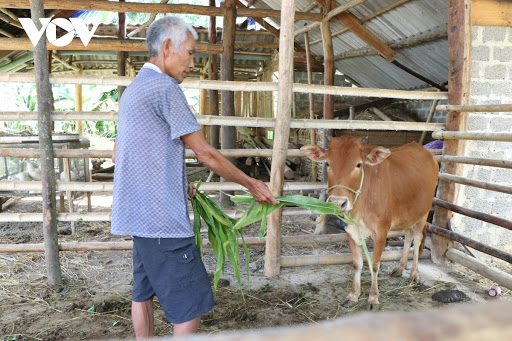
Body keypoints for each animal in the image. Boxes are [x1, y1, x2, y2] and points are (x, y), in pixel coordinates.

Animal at [300, 135, 440, 308]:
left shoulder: (381, 231)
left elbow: (374, 264)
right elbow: (357, 263)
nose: (338, 203)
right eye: (327, 163)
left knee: (418, 238)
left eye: (358, 164)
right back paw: (400, 268)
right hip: (408, 215)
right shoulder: (351, 230)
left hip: (424, 212)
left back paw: (414, 274)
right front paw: (353, 295)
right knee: (408, 237)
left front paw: (373, 297)